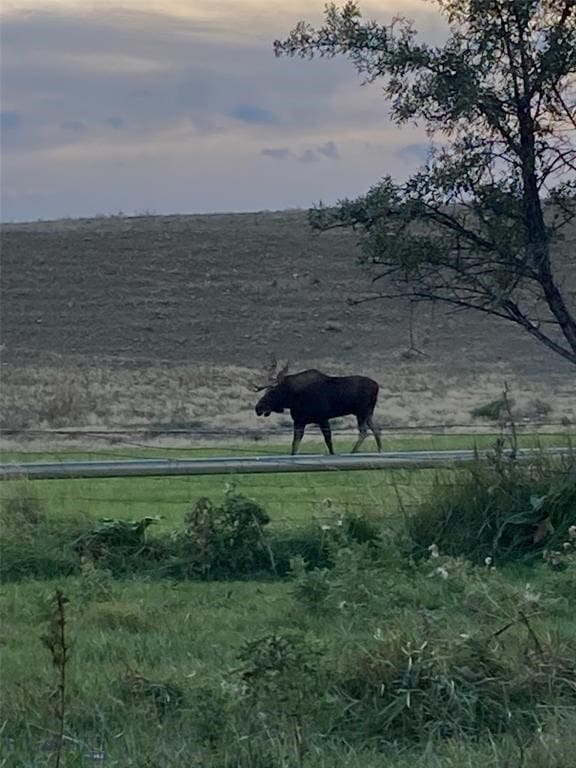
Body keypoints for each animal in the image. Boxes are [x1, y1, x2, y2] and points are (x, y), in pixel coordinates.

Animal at [253, 360, 382, 456]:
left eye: (272, 391)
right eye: (265, 390)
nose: (258, 408)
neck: (293, 399)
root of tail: (377, 386)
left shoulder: (322, 418)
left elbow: (328, 441)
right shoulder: (299, 421)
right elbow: (295, 444)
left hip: (362, 412)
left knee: (364, 431)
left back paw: (353, 452)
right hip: (368, 413)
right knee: (376, 430)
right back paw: (380, 451)